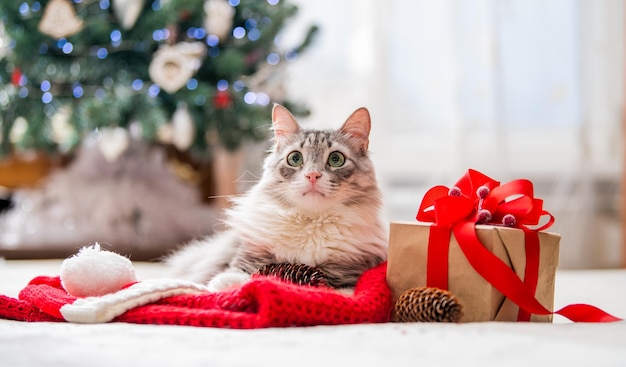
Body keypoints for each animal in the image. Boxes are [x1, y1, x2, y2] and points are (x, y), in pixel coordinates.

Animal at [165, 105, 386, 292]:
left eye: (336, 159)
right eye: (295, 158)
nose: (312, 175)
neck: (311, 223)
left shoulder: (349, 271)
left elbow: (340, 289)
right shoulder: (249, 253)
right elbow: (233, 273)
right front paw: (229, 286)